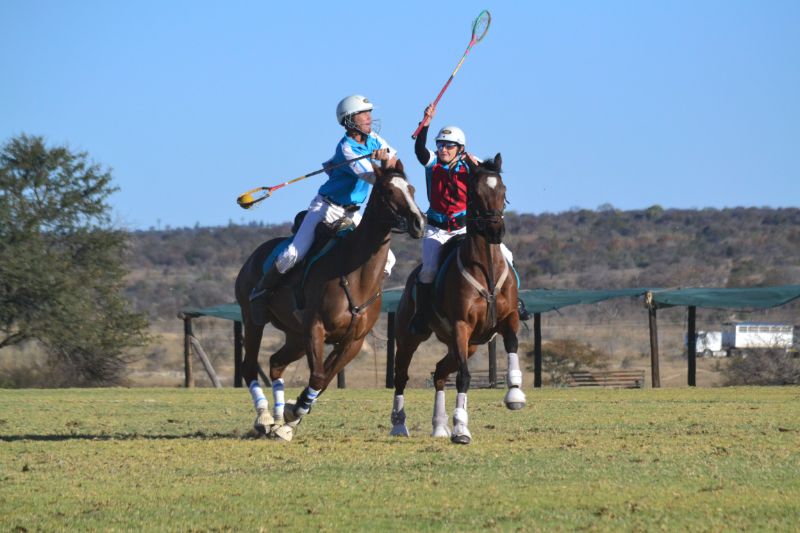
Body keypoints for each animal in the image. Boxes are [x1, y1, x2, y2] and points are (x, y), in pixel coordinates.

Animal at [236, 159, 428, 440]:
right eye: (389, 191)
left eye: (412, 189)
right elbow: (317, 377)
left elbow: (324, 381)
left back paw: (278, 417)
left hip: (295, 336)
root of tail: (253, 256)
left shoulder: (352, 342)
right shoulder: (316, 329)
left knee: (275, 363)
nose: (419, 223)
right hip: (253, 320)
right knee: (250, 365)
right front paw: (292, 414)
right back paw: (264, 417)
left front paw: (290, 418)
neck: (356, 276)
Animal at [390, 155, 524, 444]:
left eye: (503, 190)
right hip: (410, 338)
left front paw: (515, 393)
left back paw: (439, 426)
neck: (486, 267)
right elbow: (464, 377)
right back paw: (398, 425)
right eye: (474, 193)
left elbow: (512, 346)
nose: (495, 231)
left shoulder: (509, 318)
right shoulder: (462, 326)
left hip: (465, 345)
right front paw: (461, 429)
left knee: (440, 373)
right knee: (401, 376)